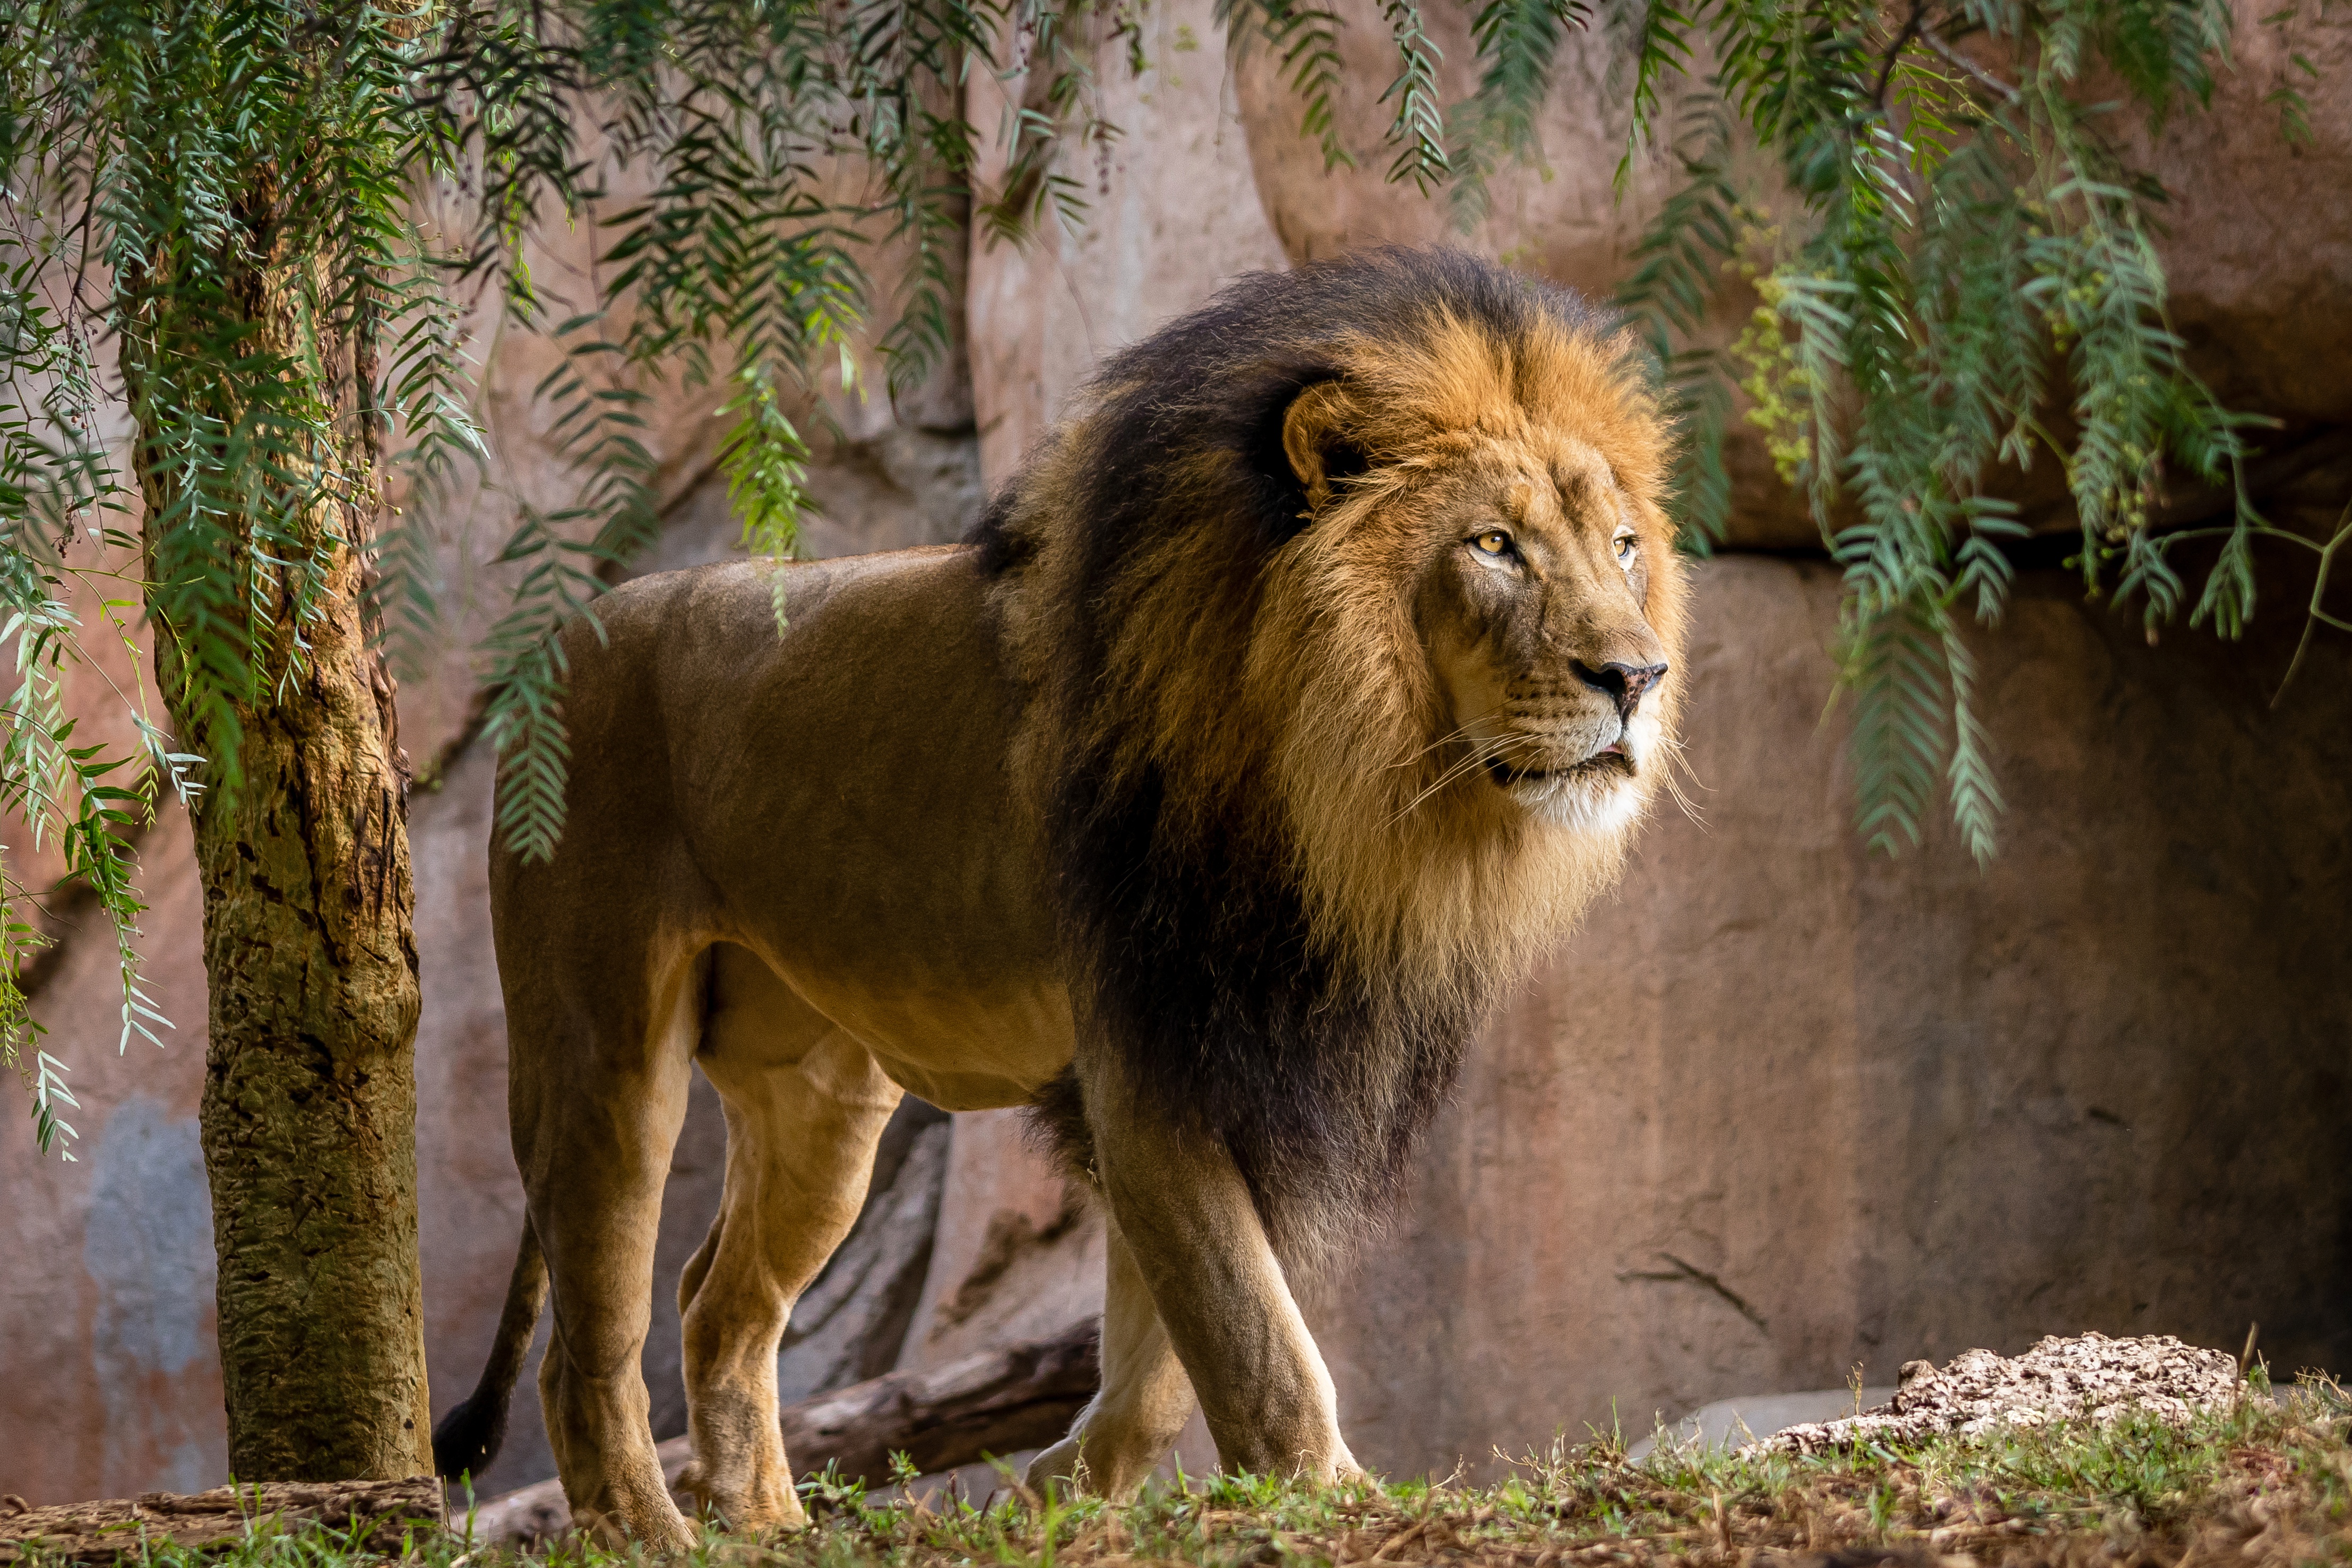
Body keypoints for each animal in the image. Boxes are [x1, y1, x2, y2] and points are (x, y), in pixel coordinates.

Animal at [437, 251, 1693, 1551]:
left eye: (1621, 546)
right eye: (1494, 544)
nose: (1637, 677)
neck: (1352, 781)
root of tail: (560, 644)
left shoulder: (1219, 1052)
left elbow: (1173, 1348)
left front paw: (1060, 1488)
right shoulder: (1149, 1046)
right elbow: (1250, 1326)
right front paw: (1328, 1493)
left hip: (820, 1097)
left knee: (717, 1300)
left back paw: (767, 1524)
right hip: (600, 1052)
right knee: (589, 1341)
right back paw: (650, 1531)